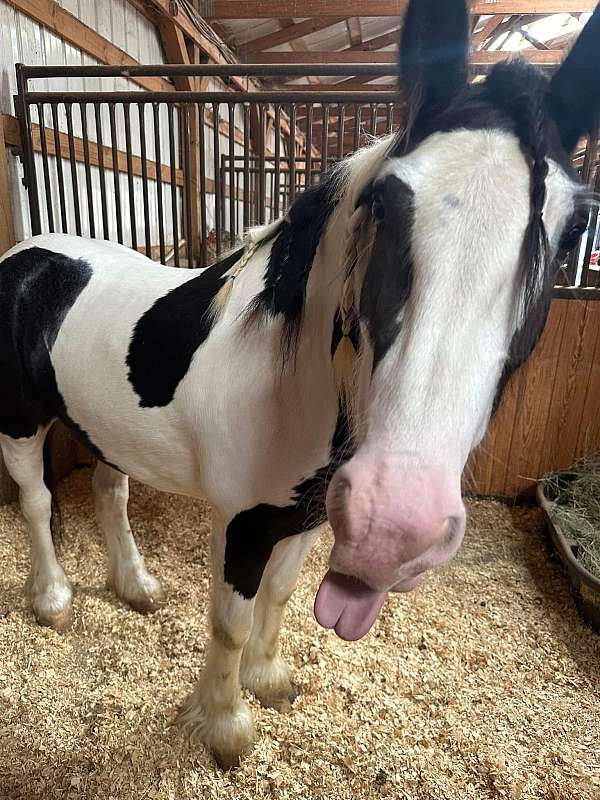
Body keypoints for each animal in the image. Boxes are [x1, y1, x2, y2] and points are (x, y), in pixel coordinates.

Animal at [1, 0, 599, 768]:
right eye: (383, 204)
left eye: (572, 229)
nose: (397, 524)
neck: (295, 388)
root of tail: (26, 254)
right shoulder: (242, 524)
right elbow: (230, 621)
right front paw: (225, 727)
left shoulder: (309, 520)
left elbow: (280, 598)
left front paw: (269, 681)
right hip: (20, 424)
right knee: (37, 502)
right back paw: (52, 599)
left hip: (106, 428)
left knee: (111, 493)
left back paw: (136, 587)